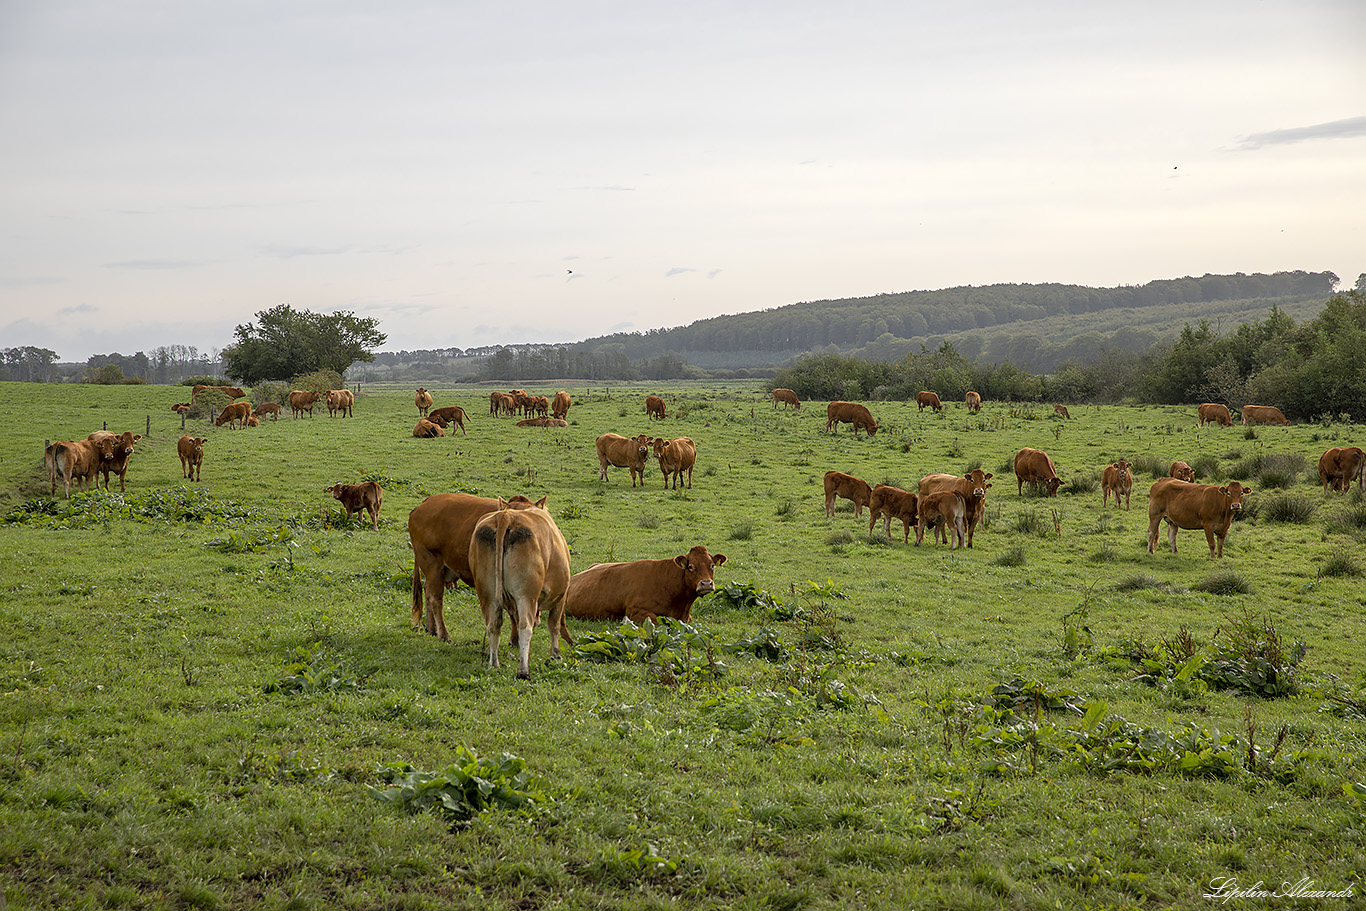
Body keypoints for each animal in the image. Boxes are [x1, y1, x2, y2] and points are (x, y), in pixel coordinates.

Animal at [407, 491, 540, 641]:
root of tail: (425, 502)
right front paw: (515, 639)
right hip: (432, 564)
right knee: (435, 599)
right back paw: (444, 635)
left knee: (427, 591)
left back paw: (431, 629)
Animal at [469, 499, 570, 677]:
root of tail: (506, 516)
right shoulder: (561, 596)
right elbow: (554, 625)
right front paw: (556, 655)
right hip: (526, 595)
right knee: (525, 627)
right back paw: (523, 670)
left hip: (487, 593)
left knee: (493, 625)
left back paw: (494, 664)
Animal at [554, 546, 726, 652]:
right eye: (691, 566)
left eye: (712, 565)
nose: (706, 583)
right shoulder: (634, 612)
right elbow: (658, 623)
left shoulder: (687, 617)